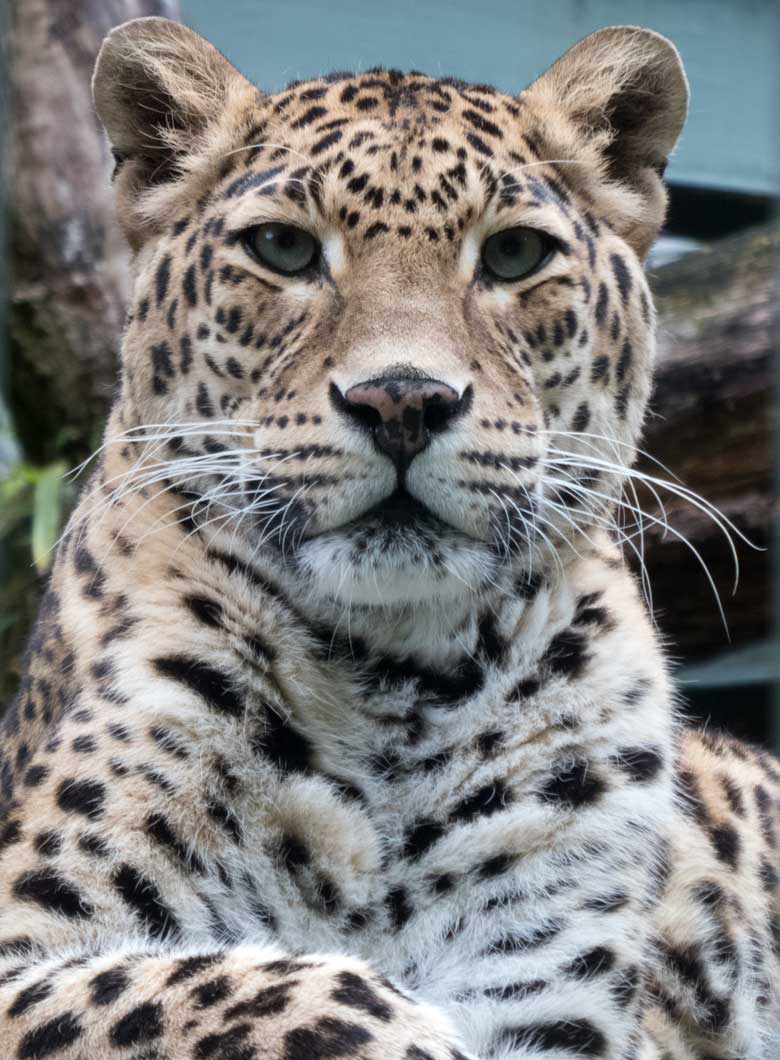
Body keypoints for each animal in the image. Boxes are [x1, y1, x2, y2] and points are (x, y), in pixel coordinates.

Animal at [1, 16, 780, 1060]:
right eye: (283, 248)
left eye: (514, 255)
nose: (403, 399)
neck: (397, 685)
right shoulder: (29, 949)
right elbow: (265, 985)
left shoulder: (553, 998)